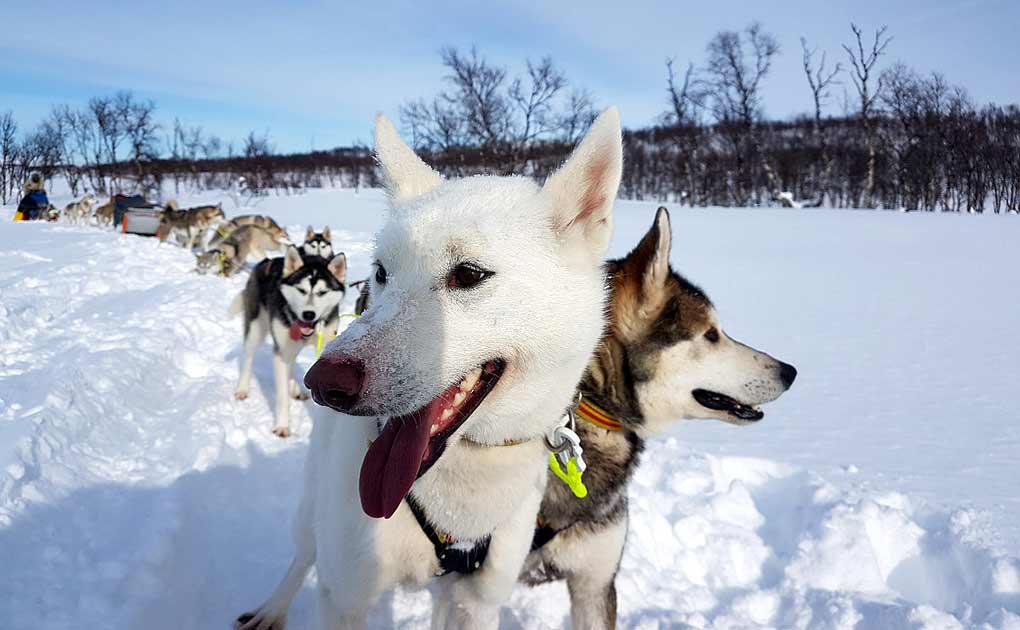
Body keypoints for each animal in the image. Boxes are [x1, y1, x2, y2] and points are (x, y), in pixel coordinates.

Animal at [231, 246, 346, 436]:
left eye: (322, 293)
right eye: (301, 290)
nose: (309, 314)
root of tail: (266, 261)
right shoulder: (280, 352)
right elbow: (282, 396)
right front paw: (282, 426)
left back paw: (294, 387)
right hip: (255, 331)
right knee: (248, 358)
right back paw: (242, 389)